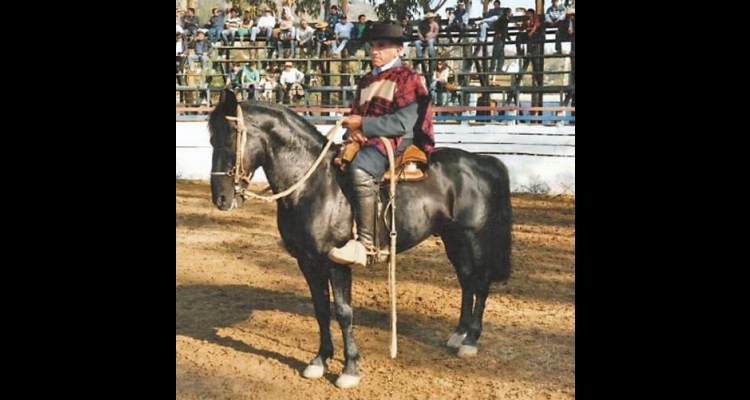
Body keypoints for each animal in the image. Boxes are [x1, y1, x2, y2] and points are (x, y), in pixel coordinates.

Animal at [209, 90, 516, 388]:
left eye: (230, 138)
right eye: (211, 138)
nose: (221, 198)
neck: (315, 185)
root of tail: (482, 161)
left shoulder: (336, 264)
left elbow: (343, 312)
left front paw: (350, 368)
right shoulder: (308, 262)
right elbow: (321, 309)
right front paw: (320, 360)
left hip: (473, 238)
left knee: (481, 283)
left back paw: (470, 340)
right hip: (454, 239)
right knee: (467, 280)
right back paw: (458, 333)